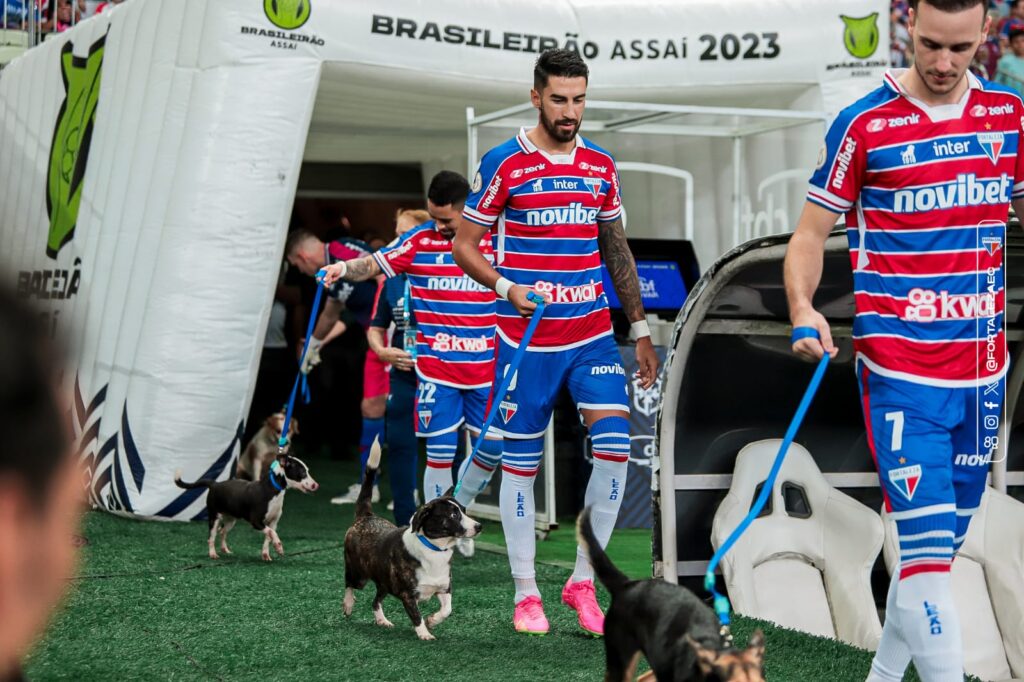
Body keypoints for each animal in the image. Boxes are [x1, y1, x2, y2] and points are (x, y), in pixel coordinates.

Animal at [172, 454, 317, 561]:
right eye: (302, 472)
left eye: (307, 471)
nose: (316, 485)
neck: (273, 490)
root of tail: (214, 484)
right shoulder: (256, 522)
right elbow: (271, 533)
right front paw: (278, 546)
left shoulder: (273, 522)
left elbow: (269, 536)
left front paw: (266, 554)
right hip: (214, 517)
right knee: (211, 537)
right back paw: (213, 554)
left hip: (231, 520)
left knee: (222, 531)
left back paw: (225, 549)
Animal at [342, 436, 481, 638]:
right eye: (453, 515)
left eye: (464, 511)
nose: (479, 526)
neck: (435, 548)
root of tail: (366, 516)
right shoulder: (408, 595)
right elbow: (416, 615)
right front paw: (424, 634)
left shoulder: (444, 588)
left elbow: (447, 610)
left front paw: (432, 620)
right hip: (358, 572)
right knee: (349, 584)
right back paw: (348, 604)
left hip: (385, 582)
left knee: (375, 601)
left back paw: (382, 620)